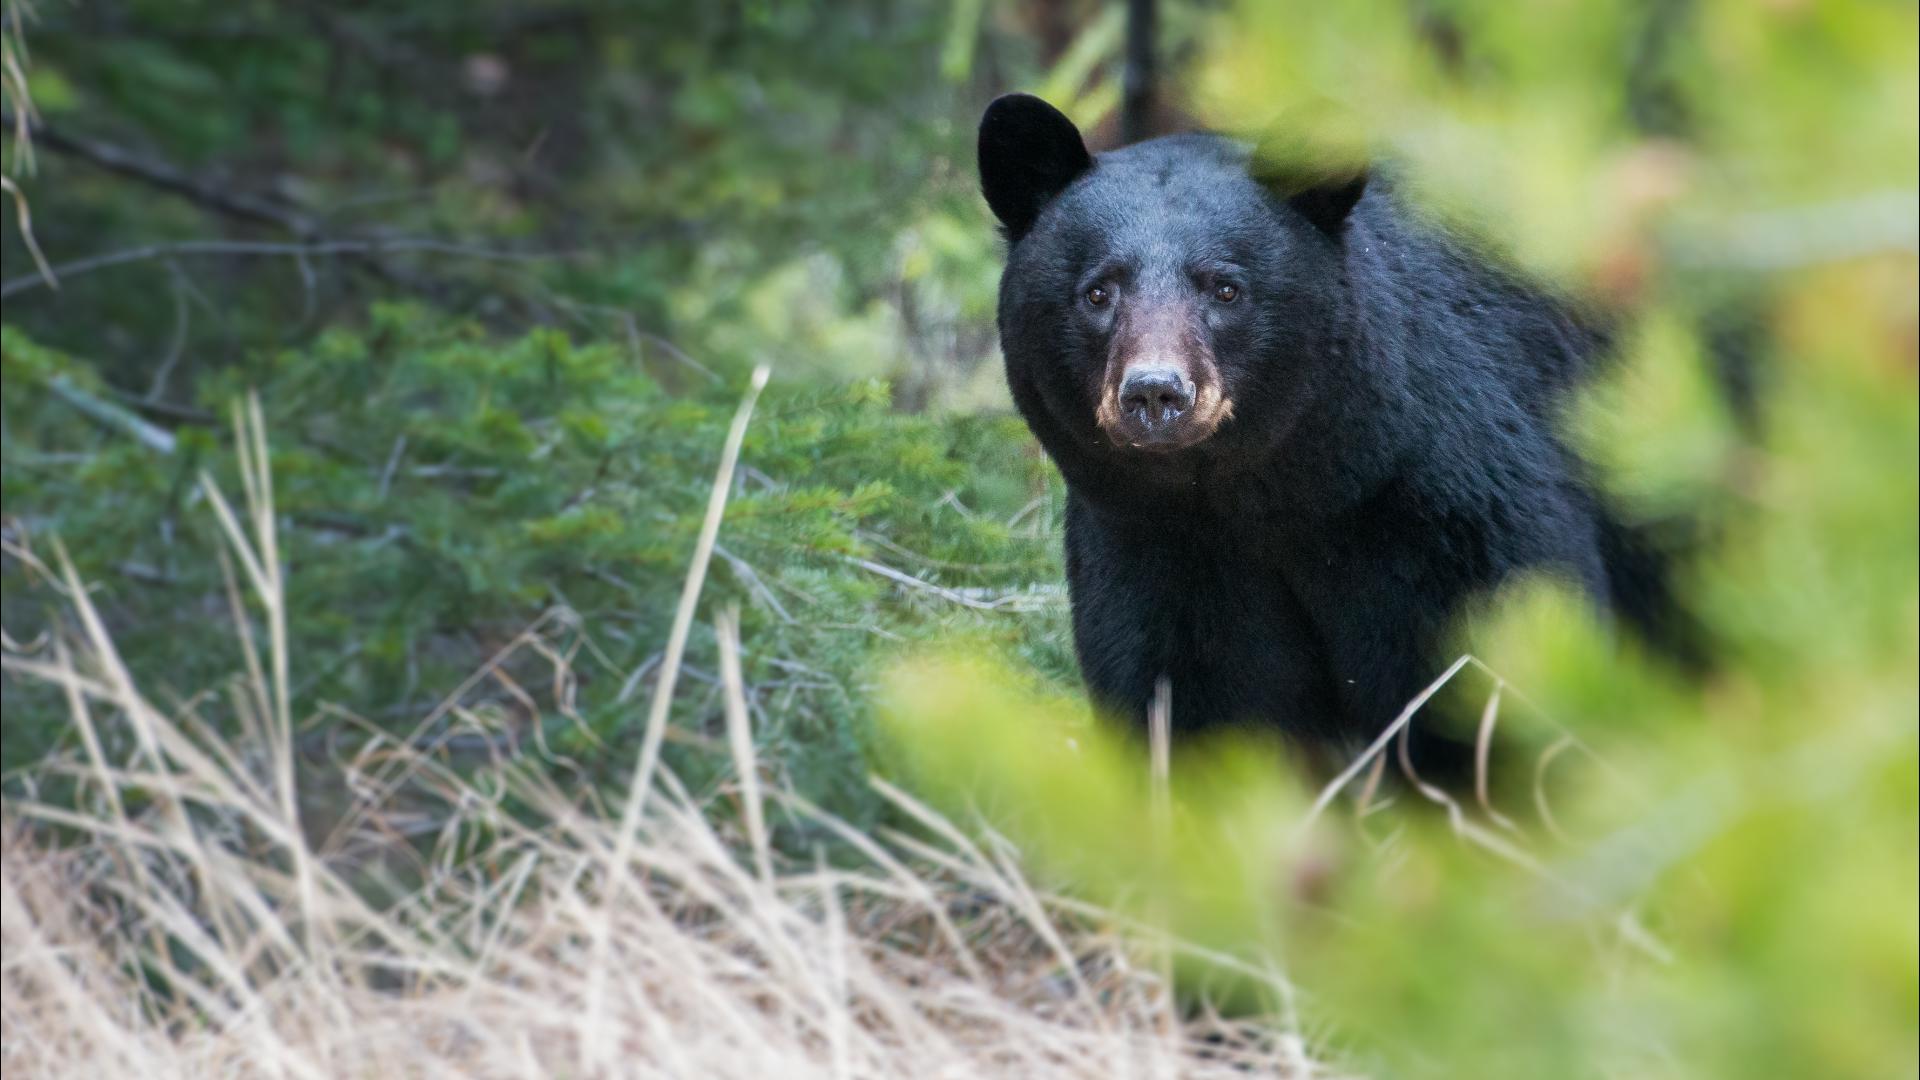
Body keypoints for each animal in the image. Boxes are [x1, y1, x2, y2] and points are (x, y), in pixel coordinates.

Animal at [983, 92, 1674, 760]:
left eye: (1226, 288)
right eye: (1098, 292)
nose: (1156, 392)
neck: (1278, 496)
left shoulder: (1453, 509)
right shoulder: (1153, 544)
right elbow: (1192, 701)